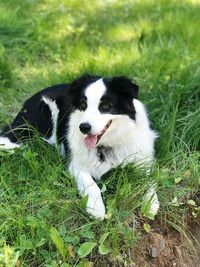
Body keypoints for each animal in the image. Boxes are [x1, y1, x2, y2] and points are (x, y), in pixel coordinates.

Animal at [0, 75, 159, 220]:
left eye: (105, 106)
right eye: (83, 104)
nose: (84, 127)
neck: (107, 144)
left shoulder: (142, 160)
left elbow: (149, 180)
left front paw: (150, 202)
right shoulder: (76, 164)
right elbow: (91, 184)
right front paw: (96, 207)